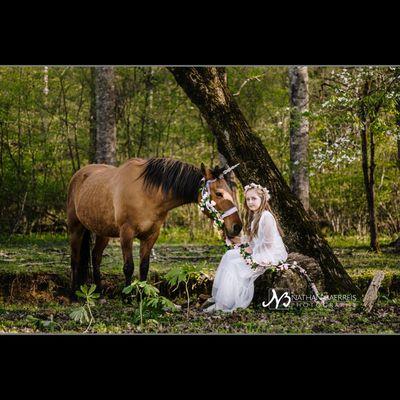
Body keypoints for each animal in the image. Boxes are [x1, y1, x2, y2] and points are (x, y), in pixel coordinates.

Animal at [67, 156, 242, 296]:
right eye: (219, 193)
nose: (237, 227)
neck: (147, 193)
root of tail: (79, 174)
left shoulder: (151, 236)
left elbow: (144, 267)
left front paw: (142, 295)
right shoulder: (126, 234)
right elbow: (128, 267)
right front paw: (126, 296)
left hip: (103, 233)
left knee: (96, 257)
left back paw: (99, 291)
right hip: (75, 228)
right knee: (75, 259)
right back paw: (73, 293)